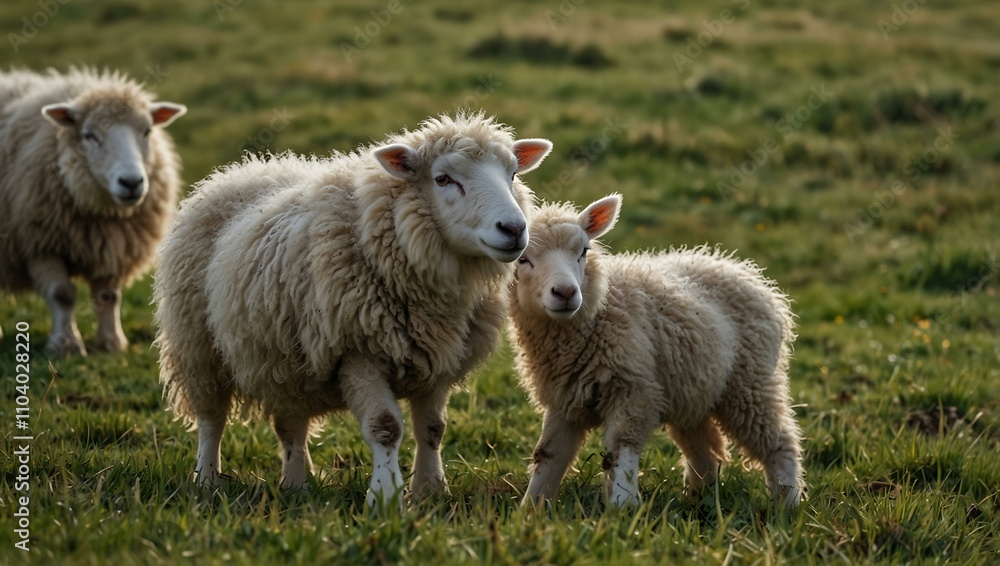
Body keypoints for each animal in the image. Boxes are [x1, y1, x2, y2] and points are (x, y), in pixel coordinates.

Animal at [0, 67, 186, 356]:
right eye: (89, 135)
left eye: (147, 131)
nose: (131, 182)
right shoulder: (39, 244)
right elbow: (62, 294)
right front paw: (66, 345)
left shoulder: (112, 245)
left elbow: (108, 297)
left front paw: (112, 343)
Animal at [154, 112, 553, 509]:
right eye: (443, 179)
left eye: (513, 174)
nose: (514, 229)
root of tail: (247, 167)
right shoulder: (357, 353)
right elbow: (386, 426)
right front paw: (386, 497)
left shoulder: (439, 358)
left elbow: (433, 430)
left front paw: (431, 489)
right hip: (199, 347)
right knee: (211, 419)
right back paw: (207, 480)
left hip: (286, 360)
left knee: (291, 426)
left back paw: (296, 485)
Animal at [509, 194, 805, 509]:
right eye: (522, 259)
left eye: (583, 252)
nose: (566, 293)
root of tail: (748, 274)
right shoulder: (565, 398)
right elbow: (549, 454)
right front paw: (531, 507)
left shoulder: (635, 389)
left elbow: (620, 448)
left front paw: (623, 505)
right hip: (694, 388)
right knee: (702, 449)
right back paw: (699, 500)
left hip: (750, 382)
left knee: (779, 441)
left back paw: (788, 502)